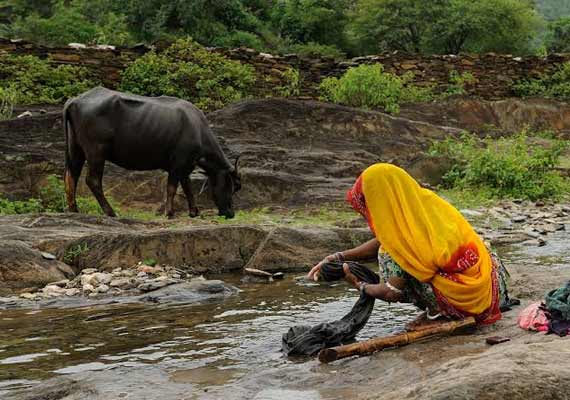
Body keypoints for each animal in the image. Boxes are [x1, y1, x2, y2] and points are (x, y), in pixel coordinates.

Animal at [62, 87, 240, 219]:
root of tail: (74, 100)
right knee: (92, 180)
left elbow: (188, 188)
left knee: (71, 176)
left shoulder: (185, 167)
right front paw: (170, 213)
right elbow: (172, 188)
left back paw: (73, 209)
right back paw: (110, 212)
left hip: (76, 148)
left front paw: (194, 211)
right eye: (232, 186)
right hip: (96, 151)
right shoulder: (178, 164)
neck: (197, 129)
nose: (231, 213)